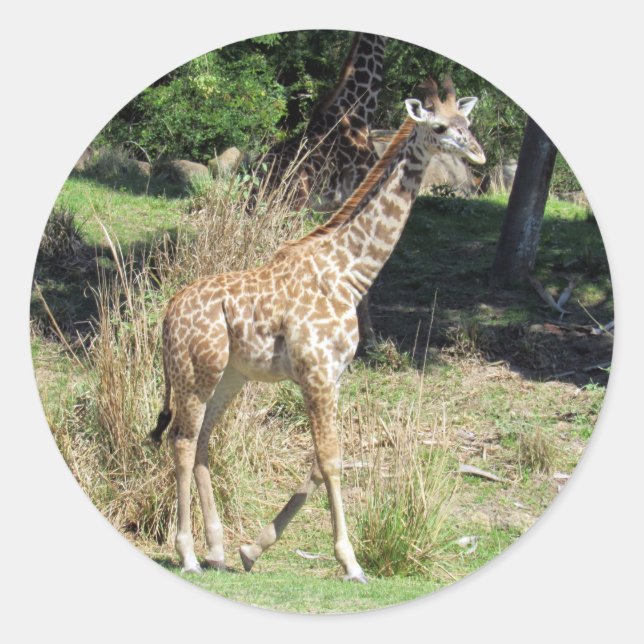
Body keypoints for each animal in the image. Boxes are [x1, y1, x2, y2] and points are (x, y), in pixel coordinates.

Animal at [151, 76, 485, 583]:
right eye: (441, 127)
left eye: (468, 121)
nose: (480, 156)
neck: (348, 273)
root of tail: (169, 311)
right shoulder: (316, 371)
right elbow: (329, 459)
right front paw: (351, 562)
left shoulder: (333, 375)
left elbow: (323, 459)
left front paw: (253, 549)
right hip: (195, 372)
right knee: (183, 440)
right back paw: (188, 554)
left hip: (231, 375)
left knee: (205, 439)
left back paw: (218, 550)